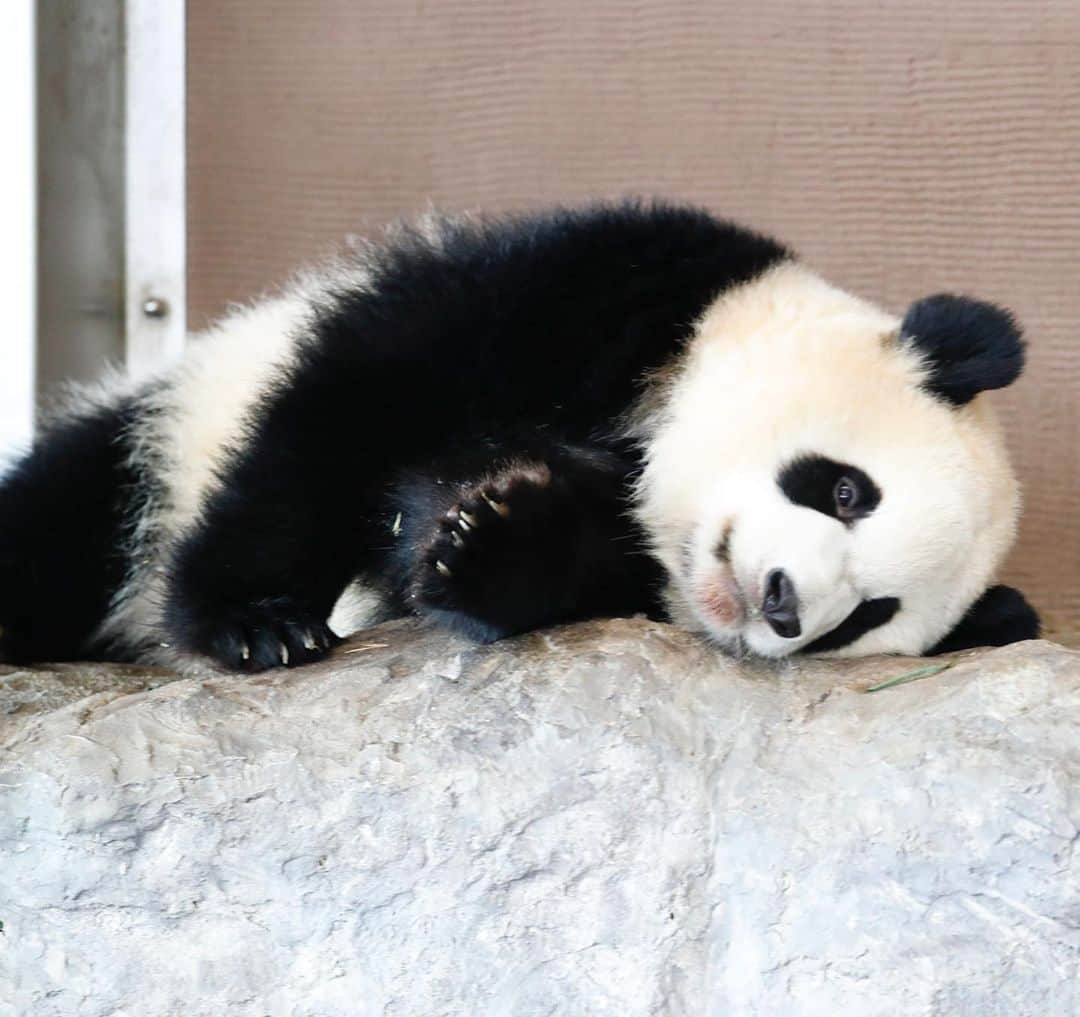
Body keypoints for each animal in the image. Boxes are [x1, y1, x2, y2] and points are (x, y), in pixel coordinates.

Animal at [2, 201, 1045, 673]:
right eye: (845, 489)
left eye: (868, 615)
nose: (784, 604)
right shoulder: (619, 285)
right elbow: (360, 395)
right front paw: (257, 619)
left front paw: (492, 540)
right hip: (164, 429)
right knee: (68, 518)